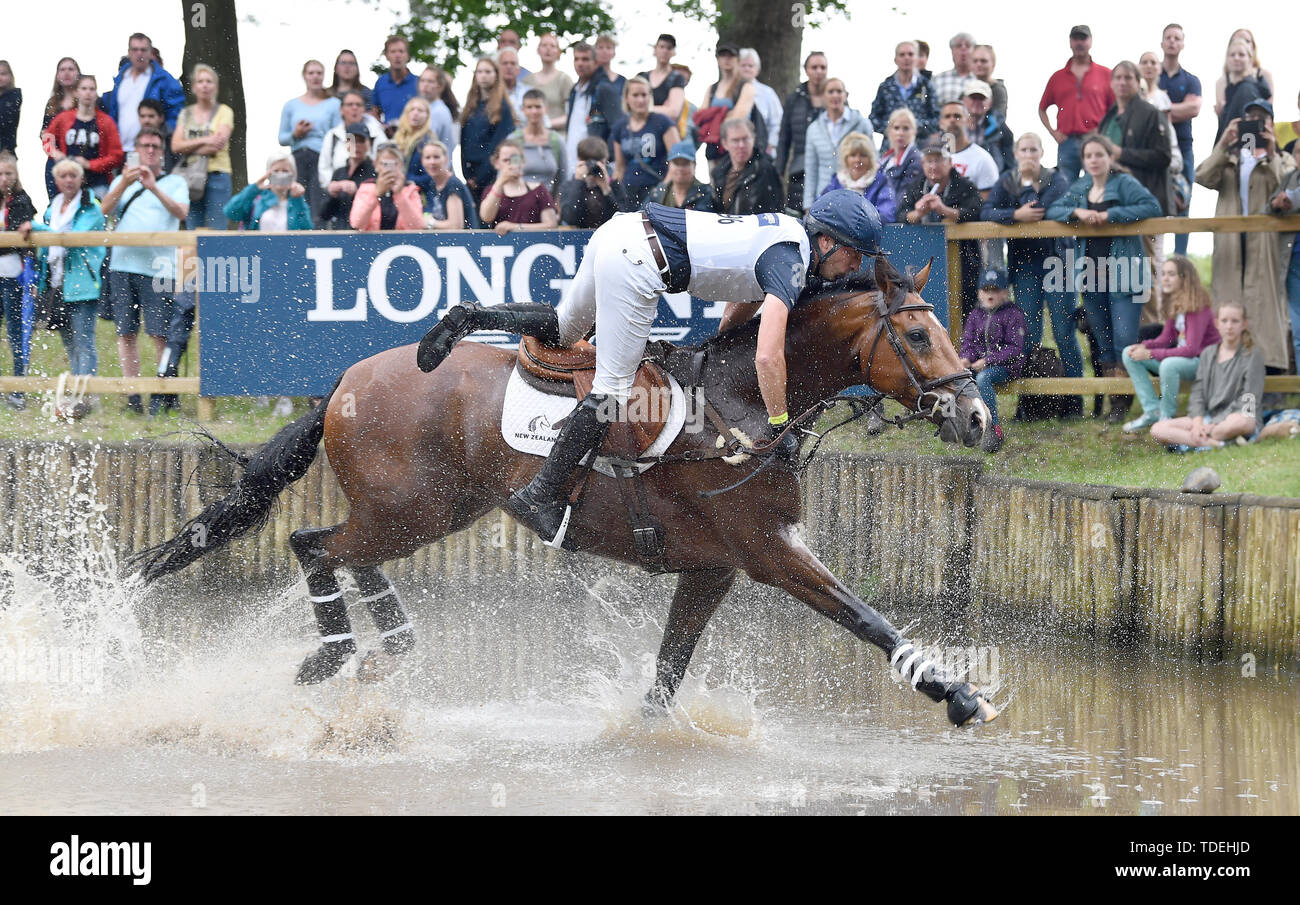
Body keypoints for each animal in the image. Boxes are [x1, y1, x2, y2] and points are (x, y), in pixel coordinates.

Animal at [131, 254, 998, 728]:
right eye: (916, 334)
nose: (978, 414)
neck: (744, 397)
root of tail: (344, 380)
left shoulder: (711, 568)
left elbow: (667, 672)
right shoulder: (771, 552)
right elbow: (871, 621)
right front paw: (960, 696)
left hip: (429, 511)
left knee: (347, 554)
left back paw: (388, 646)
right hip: (412, 509)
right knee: (313, 543)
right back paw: (334, 651)